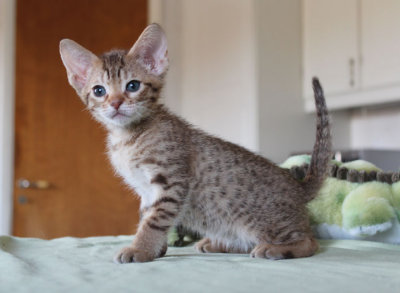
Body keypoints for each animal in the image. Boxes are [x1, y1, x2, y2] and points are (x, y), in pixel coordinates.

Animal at [59, 22, 330, 262]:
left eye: (133, 85)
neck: (128, 137)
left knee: (312, 241)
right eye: (99, 91)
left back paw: (277, 248)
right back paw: (218, 243)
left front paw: (139, 249)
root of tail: (295, 184)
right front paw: (155, 249)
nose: (115, 103)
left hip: (264, 222)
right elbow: (147, 217)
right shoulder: (146, 192)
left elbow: (153, 221)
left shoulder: (171, 182)